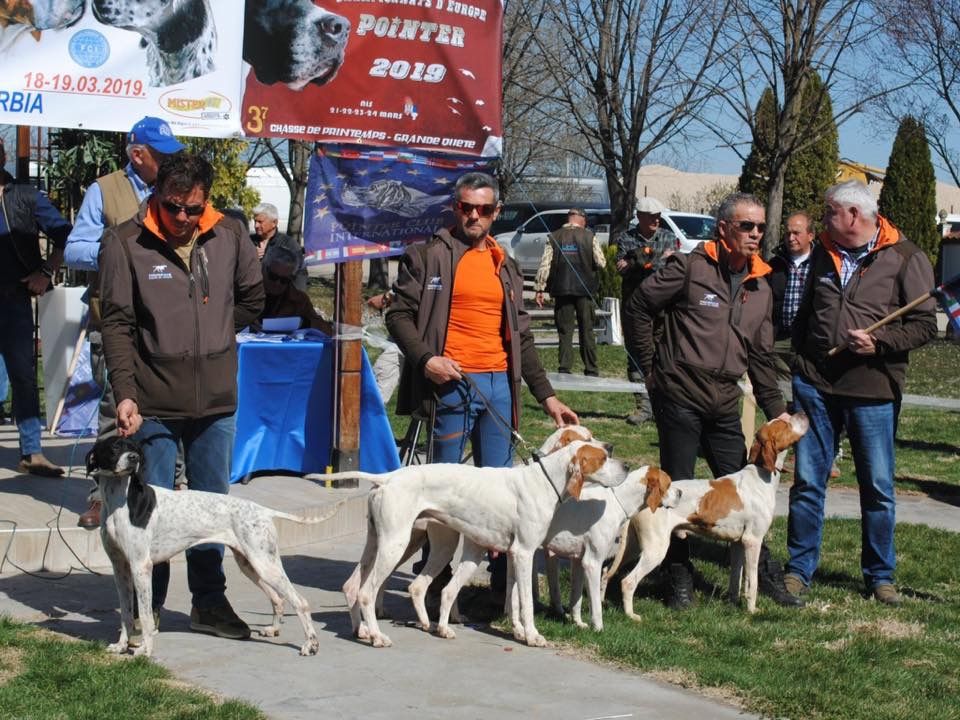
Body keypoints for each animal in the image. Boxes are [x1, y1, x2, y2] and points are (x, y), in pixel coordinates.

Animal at [89, 434, 334, 660]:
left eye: (134, 448)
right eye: (114, 447)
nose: (134, 459)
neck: (120, 501)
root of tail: (263, 510)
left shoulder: (141, 567)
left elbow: (147, 616)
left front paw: (145, 650)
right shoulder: (120, 569)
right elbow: (126, 614)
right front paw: (121, 646)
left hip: (265, 565)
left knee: (300, 602)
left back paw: (310, 644)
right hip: (250, 564)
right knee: (278, 598)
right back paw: (274, 629)